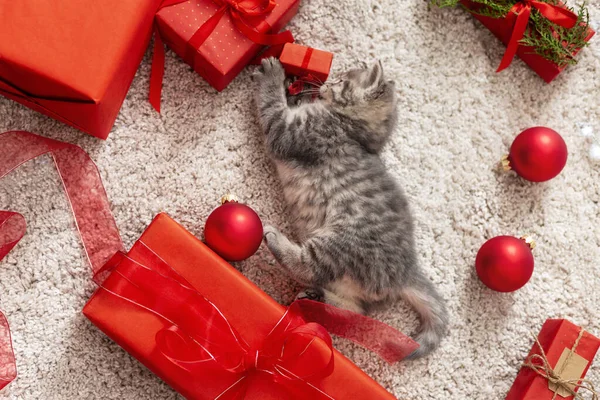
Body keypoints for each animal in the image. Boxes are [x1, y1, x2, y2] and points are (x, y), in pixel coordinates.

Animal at [252, 57, 446, 360]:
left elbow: (271, 107)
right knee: (354, 312)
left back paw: (277, 242)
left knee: (309, 266)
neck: (353, 132)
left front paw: (273, 76)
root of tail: (407, 271)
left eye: (342, 80)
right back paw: (318, 299)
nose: (327, 83)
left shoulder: (291, 132)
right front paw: (295, 89)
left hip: (342, 241)